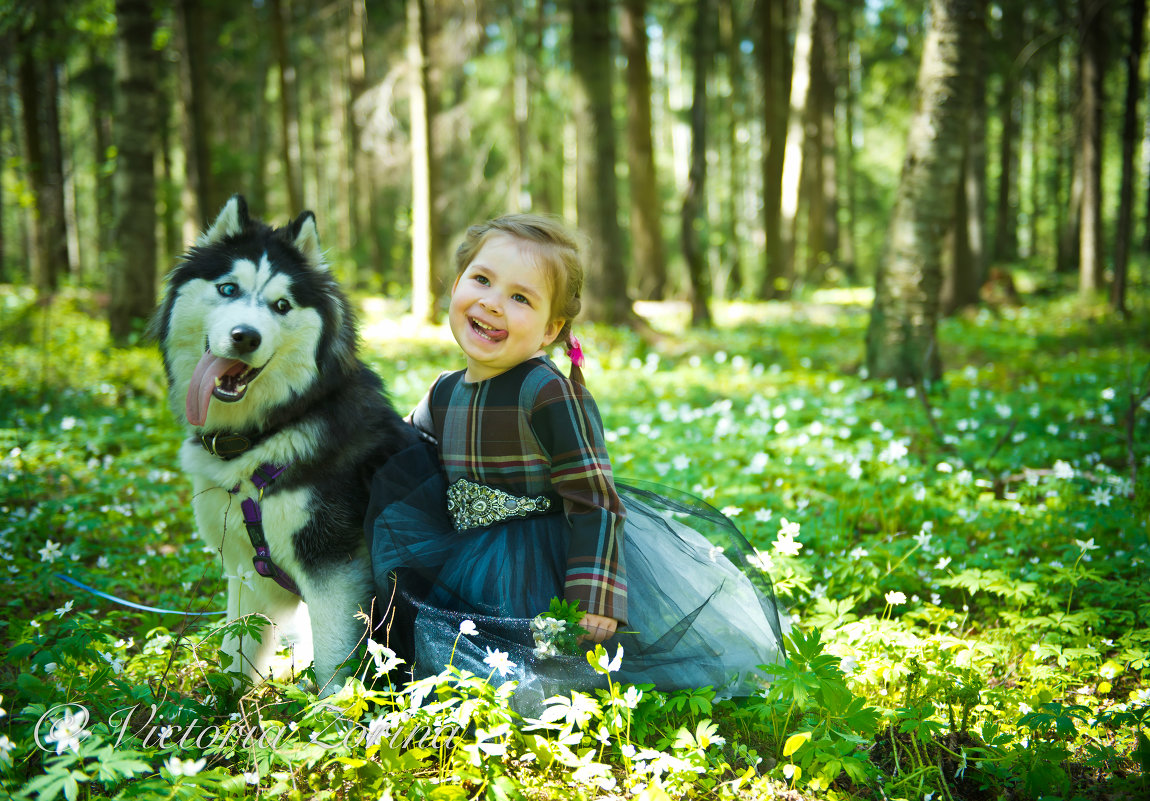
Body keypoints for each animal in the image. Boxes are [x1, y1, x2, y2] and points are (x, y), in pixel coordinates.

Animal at [148, 194, 409, 694]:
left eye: (282, 304)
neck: (262, 438)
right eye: (228, 289)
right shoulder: (247, 569)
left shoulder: (334, 569)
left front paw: (331, 712)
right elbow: (236, 651)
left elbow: (333, 665)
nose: (244, 336)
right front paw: (220, 705)